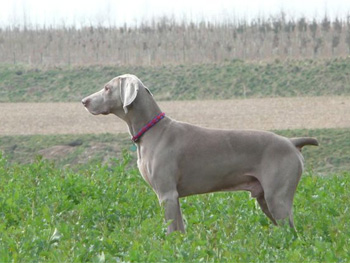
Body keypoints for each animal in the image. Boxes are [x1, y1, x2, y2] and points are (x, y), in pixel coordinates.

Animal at [82, 75, 318, 235]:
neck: (151, 130)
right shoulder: (174, 196)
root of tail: (291, 142)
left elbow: (170, 230)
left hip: (277, 196)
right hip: (265, 199)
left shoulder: (166, 194)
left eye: (107, 88)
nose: (84, 101)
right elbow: (179, 230)